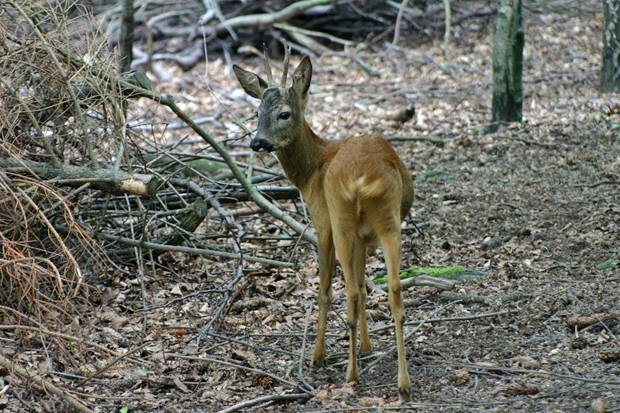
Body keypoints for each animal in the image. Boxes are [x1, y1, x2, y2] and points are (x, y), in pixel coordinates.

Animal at [235, 47, 414, 400]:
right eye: (256, 112)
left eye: (284, 114)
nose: (257, 143)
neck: (311, 171)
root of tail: (361, 179)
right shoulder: (363, 238)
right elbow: (364, 285)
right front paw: (367, 346)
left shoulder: (322, 224)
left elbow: (326, 292)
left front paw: (318, 356)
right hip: (387, 223)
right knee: (394, 291)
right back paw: (403, 385)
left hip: (341, 220)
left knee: (349, 293)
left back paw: (350, 374)